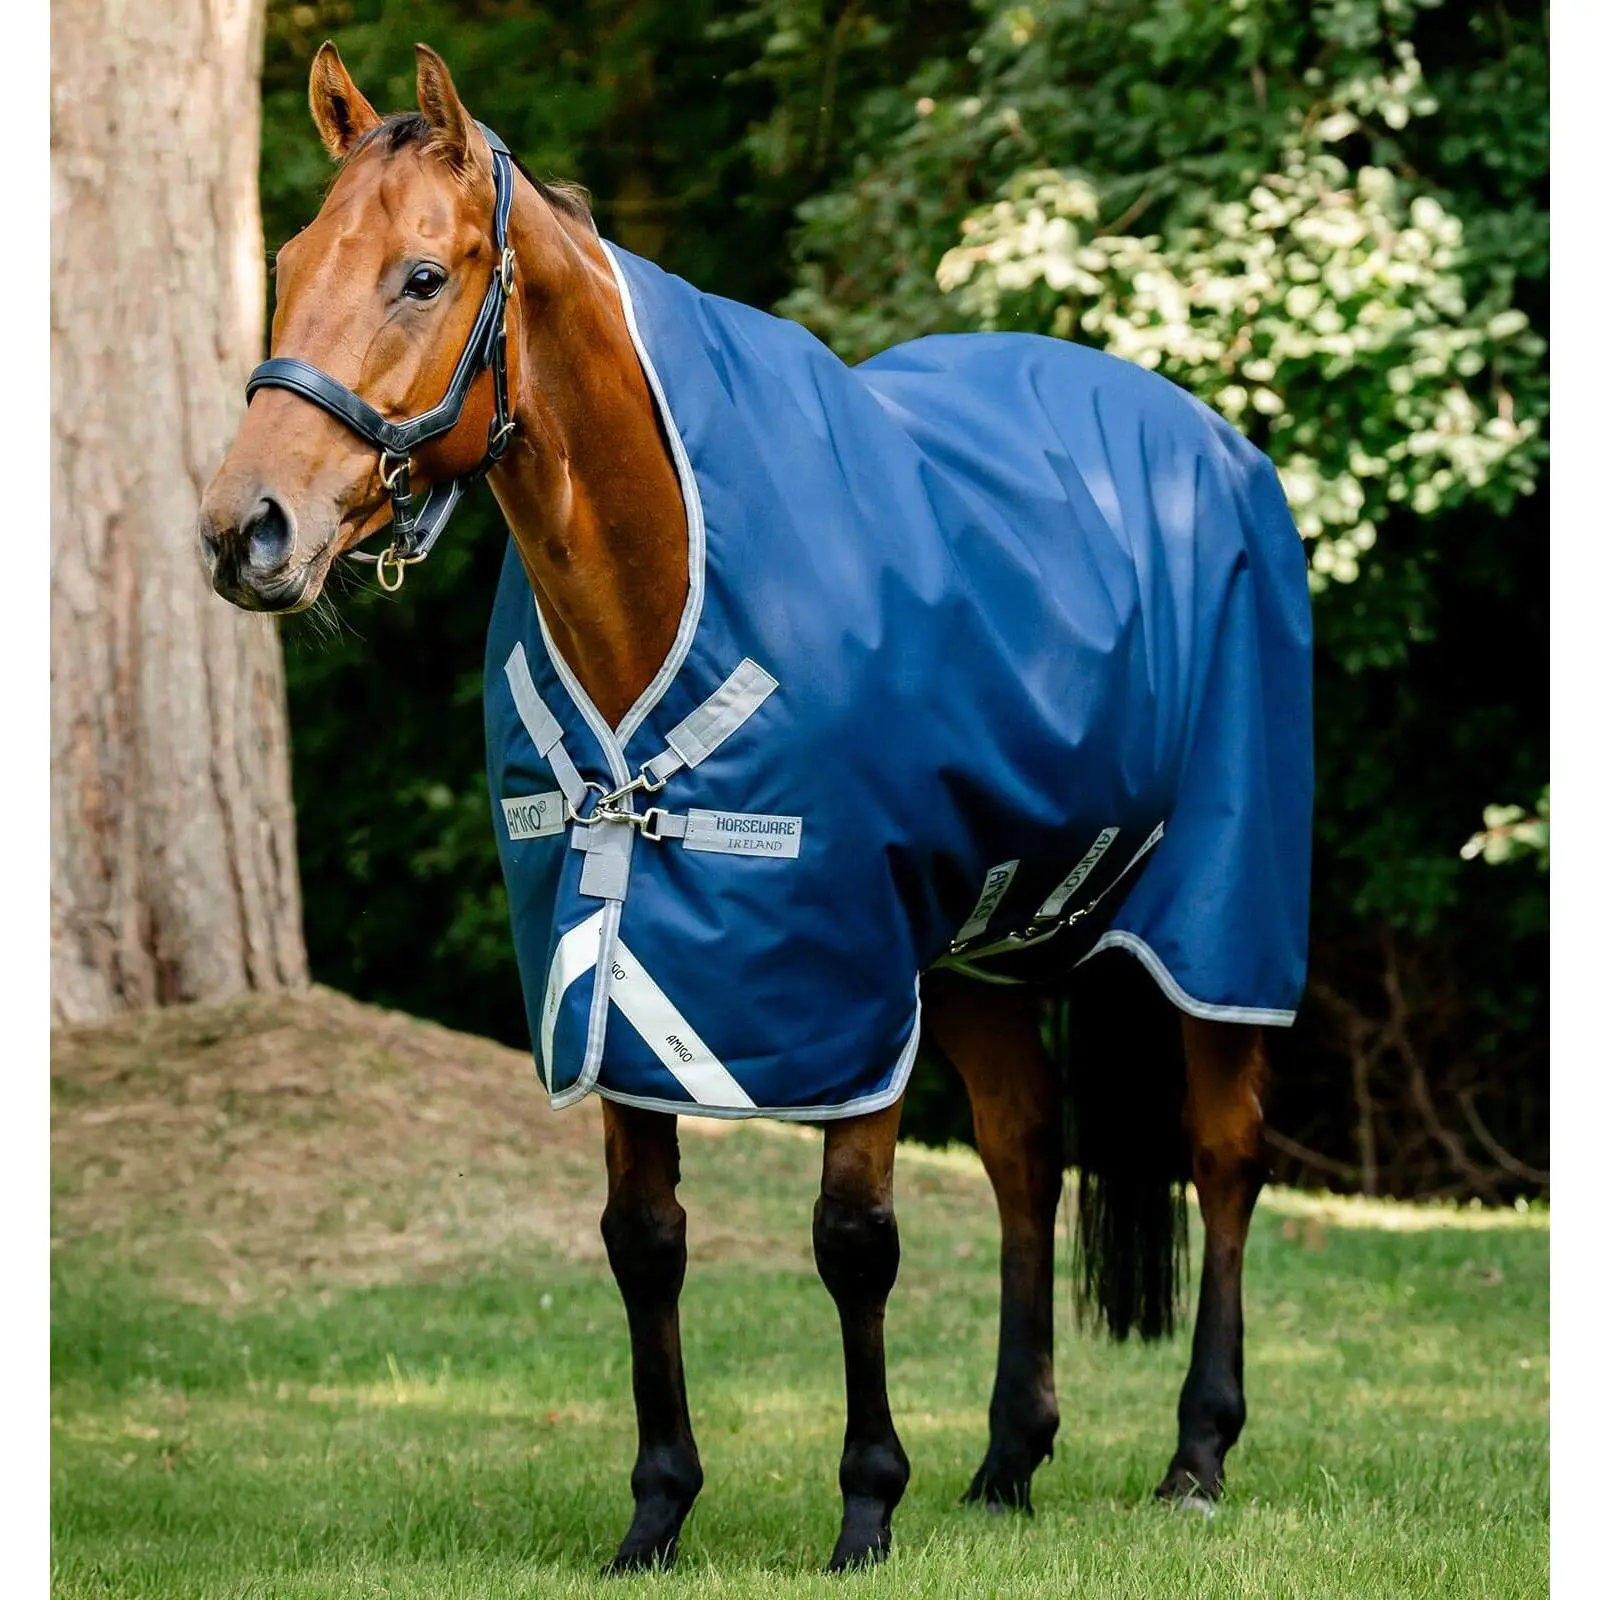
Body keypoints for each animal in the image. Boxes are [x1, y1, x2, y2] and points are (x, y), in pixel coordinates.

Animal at [200, 42, 1304, 1573]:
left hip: (1216, 921)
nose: (246, 532)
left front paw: (865, 1509)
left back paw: (1196, 1452)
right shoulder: (605, 970)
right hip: (974, 953)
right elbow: (643, 1236)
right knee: (1027, 1156)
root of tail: (1216, 448)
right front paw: (657, 1514)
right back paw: (1006, 1463)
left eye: (422, 276)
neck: (666, 573)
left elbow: (855, 1240)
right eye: (292, 260)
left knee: (1225, 1155)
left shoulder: (846, 978)